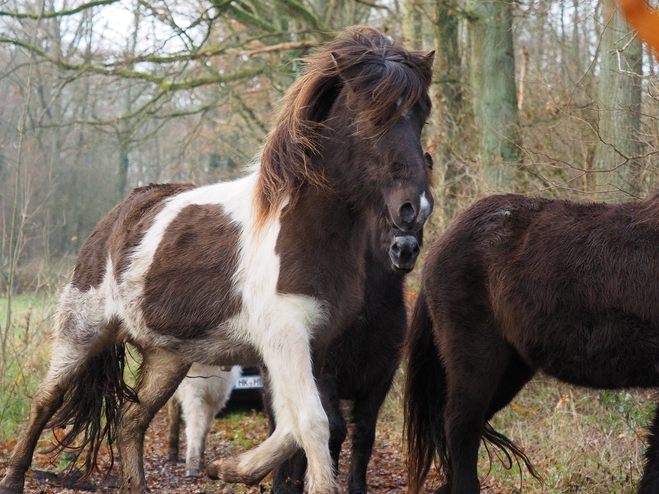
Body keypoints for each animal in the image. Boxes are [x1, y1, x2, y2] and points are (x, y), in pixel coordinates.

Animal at [0, 27, 436, 494]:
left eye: (420, 115)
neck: (306, 231)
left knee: (131, 420)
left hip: (168, 356)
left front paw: (229, 469)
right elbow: (314, 424)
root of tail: (117, 216)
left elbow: (297, 426)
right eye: (372, 117)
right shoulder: (287, 339)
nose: (415, 209)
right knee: (45, 401)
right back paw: (14, 478)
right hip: (82, 332)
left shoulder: (311, 345)